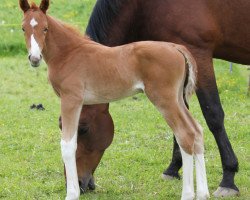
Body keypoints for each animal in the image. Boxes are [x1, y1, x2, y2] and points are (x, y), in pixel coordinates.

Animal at [20, 0, 209, 199]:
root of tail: (176, 47)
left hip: (165, 100)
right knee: (197, 131)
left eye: (45, 28)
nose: (34, 58)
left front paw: (71, 194)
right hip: (178, 99)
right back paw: (203, 193)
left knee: (185, 134)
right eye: (23, 28)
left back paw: (188, 194)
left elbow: (68, 145)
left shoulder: (71, 99)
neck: (69, 53)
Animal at [78, 0, 250, 197]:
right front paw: (173, 168)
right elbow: (181, 123)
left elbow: (213, 116)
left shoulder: (199, 54)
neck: (144, 6)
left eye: (82, 128)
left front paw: (228, 179)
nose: (81, 183)